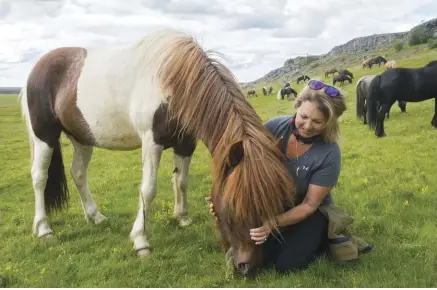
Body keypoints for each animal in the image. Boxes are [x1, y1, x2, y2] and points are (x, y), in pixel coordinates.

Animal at [18, 28, 294, 276]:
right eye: (235, 206)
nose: (248, 267)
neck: (174, 84)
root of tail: (35, 70)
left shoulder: (186, 143)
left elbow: (181, 181)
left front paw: (182, 218)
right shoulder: (152, 142)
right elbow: (148, 190)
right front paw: (141, 241)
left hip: (82, 138)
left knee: (78, 173)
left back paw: (95, 217)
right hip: (44, 136)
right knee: (39, 177)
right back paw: (44, 229)